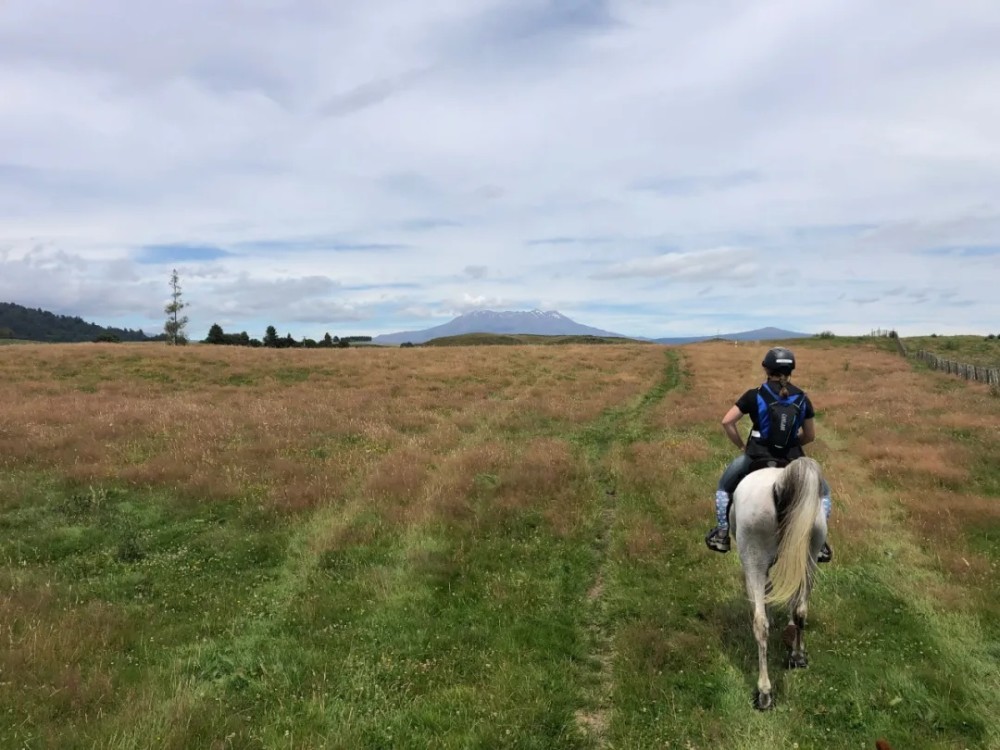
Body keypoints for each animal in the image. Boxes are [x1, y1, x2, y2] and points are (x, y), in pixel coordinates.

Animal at [728, 458, 828, 712]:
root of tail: (780, 483)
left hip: (753, 556)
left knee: (760, 624)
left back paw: (764, 693)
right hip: (810, 556)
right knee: (801, 610)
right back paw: (797, 656)